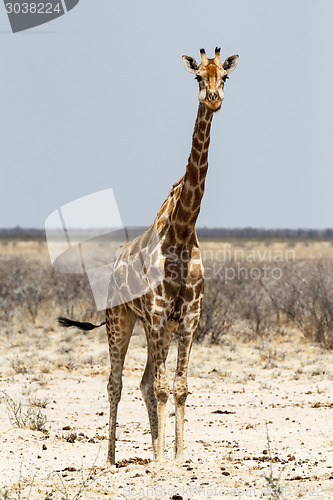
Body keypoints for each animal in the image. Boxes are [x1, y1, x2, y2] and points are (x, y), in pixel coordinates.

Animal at [58, 47, 237, 464]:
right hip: (121, 320)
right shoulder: (155, 313)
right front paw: (161, 462)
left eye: (225, 76)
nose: (213, 99)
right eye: (197, 77)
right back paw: (110, 459)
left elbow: (180, 387)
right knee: (116, 382)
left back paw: (154, 452)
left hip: (159, 328)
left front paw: (177, 458)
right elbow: (160, 387)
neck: (182, 233)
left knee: (142, 382)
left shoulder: (188, 317)